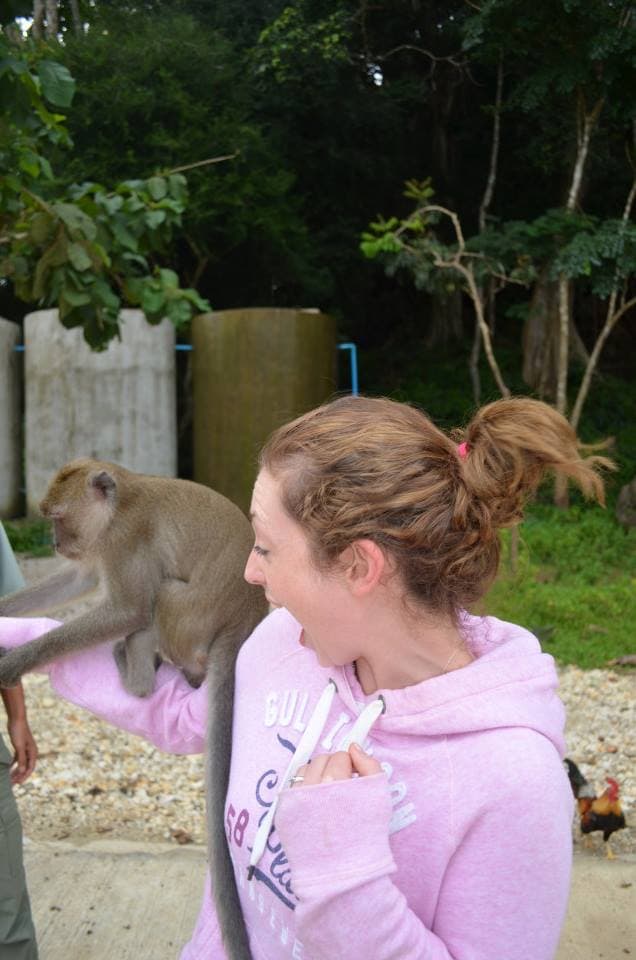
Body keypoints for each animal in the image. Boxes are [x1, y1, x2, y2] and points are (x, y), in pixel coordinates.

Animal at [0, 457, 268, 960]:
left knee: (157, 597)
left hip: (190, 616)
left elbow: (127, 610)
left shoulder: (125, 538)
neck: (118, 503)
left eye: (57, 517)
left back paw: (137, 671)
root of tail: (244, 616)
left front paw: (14, 662)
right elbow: (80, 579)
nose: (56, 543)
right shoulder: (100, 545)